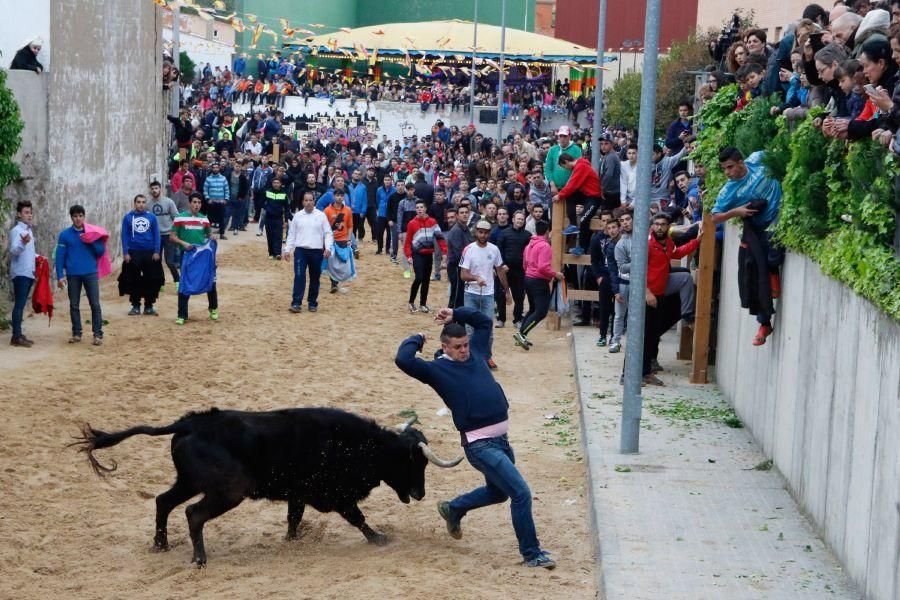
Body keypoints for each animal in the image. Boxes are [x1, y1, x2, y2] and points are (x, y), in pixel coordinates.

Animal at [71, 406, 460, 564]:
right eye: (415, 462)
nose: (421, 494)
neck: (361, 445)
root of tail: (187, 423)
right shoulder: (335, 495)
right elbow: (358, 517)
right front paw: (379, 538)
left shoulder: (299, 494)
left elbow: (293, 517)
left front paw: (292, 540)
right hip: (227, 491)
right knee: (193, 514)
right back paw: (199, 558)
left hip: (189, 481)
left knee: (163, 502)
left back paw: (161, 545)